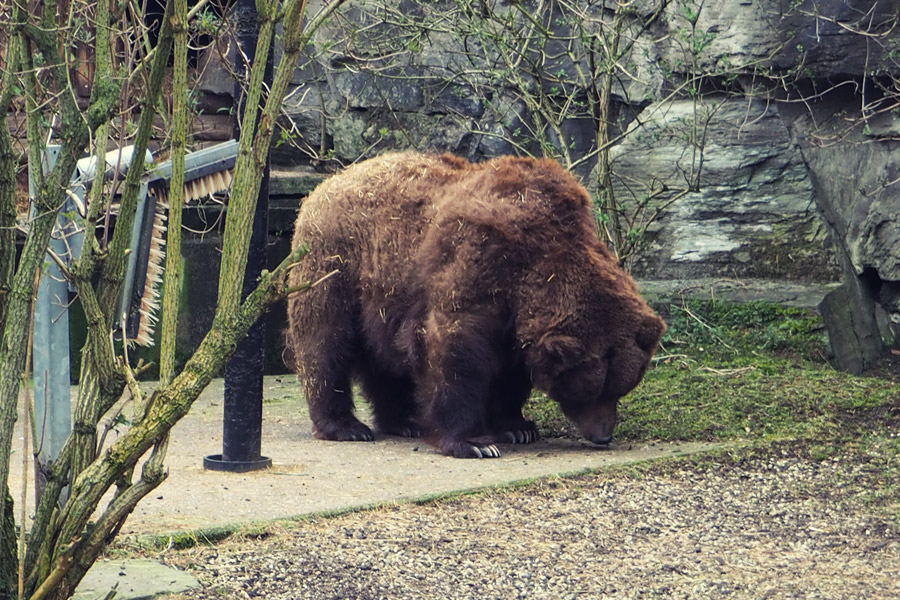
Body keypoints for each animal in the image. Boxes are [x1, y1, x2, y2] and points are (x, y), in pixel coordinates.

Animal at [285, 152, 665, 458]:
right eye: (590, 389)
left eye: (621, 388)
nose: (603, 436)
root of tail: (328, 183)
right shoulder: (475, 260)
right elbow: (456, 351)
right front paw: (475, 442)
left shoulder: (518, 314)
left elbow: (513, 368)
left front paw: (517, 426)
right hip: (335, 262)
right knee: (326, 341)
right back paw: (346, 426)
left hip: (383, 294)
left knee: (384, 360)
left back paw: (403, 421)